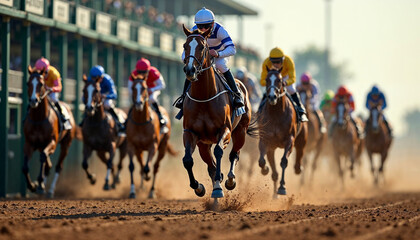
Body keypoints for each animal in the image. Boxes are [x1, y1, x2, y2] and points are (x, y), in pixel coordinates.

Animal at [23, 66, 75, 197]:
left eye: (41, 84)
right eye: (28, 83)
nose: (33, 101)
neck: (39, 119)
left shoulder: (52, 142)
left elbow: (43, 157)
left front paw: (40, 184)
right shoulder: (29, 143)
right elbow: (25, 166)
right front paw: (32, 186)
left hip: (66, 144)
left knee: (57, 166)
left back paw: (50, 190)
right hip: (41, 145)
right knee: (49, 164)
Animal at [181, 25, 253, 199]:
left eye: (202, 47)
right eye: (185, 46)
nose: (190, 70)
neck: (204, 97)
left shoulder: (224, 129)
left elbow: (219, 151)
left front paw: (219, 188)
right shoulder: (190, 132)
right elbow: (187, 160)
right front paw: (198, 187)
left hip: (240, 131)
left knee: (234, 154)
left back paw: (230, 180)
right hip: (203, 143)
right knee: (210, 164)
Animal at [258, 68, 306, 197]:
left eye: (279, 80)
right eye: (267, 79)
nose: (272, 97)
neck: (276, 114)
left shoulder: (290, 140)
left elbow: (284, 161)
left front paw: (282, 187)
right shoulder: (265, 140)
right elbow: (261, 161)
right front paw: (265, 169)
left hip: (302, 139)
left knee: (300, 152)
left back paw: (298, 168)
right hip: (272, 147)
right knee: (274, 172)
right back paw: (274, 195)